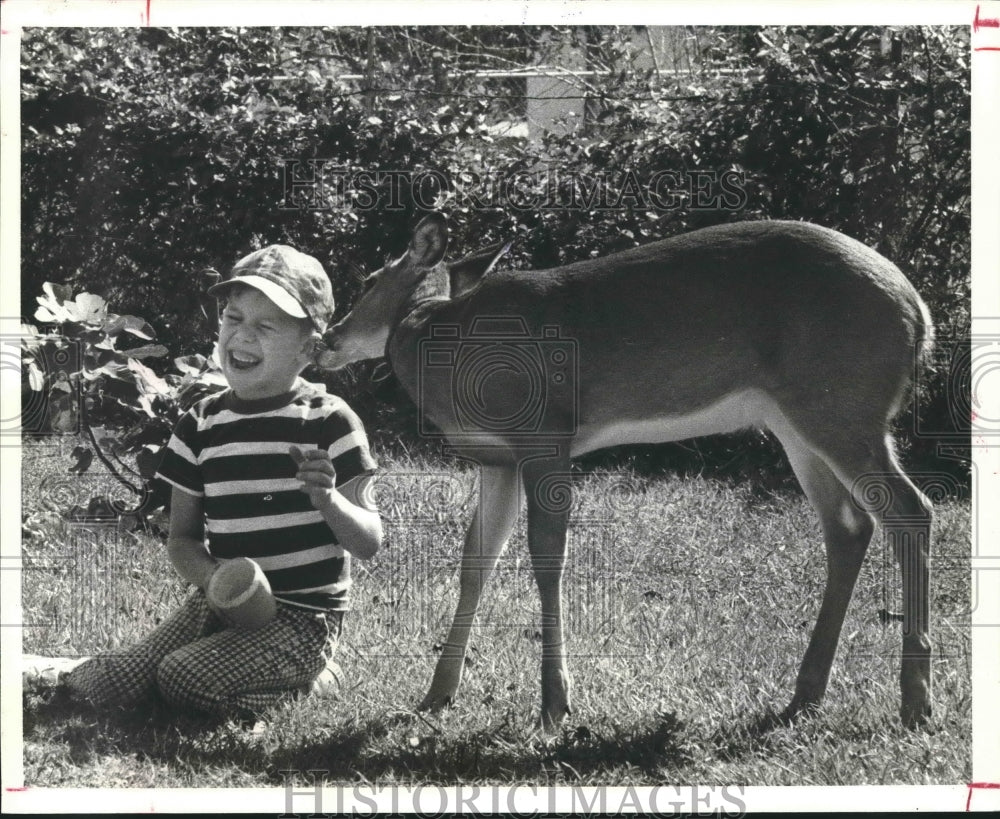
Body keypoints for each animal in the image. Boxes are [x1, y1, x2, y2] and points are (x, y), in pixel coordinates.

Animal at [317, 213, 934, 731]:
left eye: (370, 278)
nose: (328, 339)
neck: (444, 334)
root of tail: (918, 309)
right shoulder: (498, 459)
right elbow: (478, 561)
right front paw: (437, 694)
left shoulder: (546, 435)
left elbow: (547, 557)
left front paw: (554, 703)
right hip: (799, 420)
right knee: (850, 526)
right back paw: (807, 694)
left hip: (840, 404)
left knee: (912, 509)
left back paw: (915, 701)